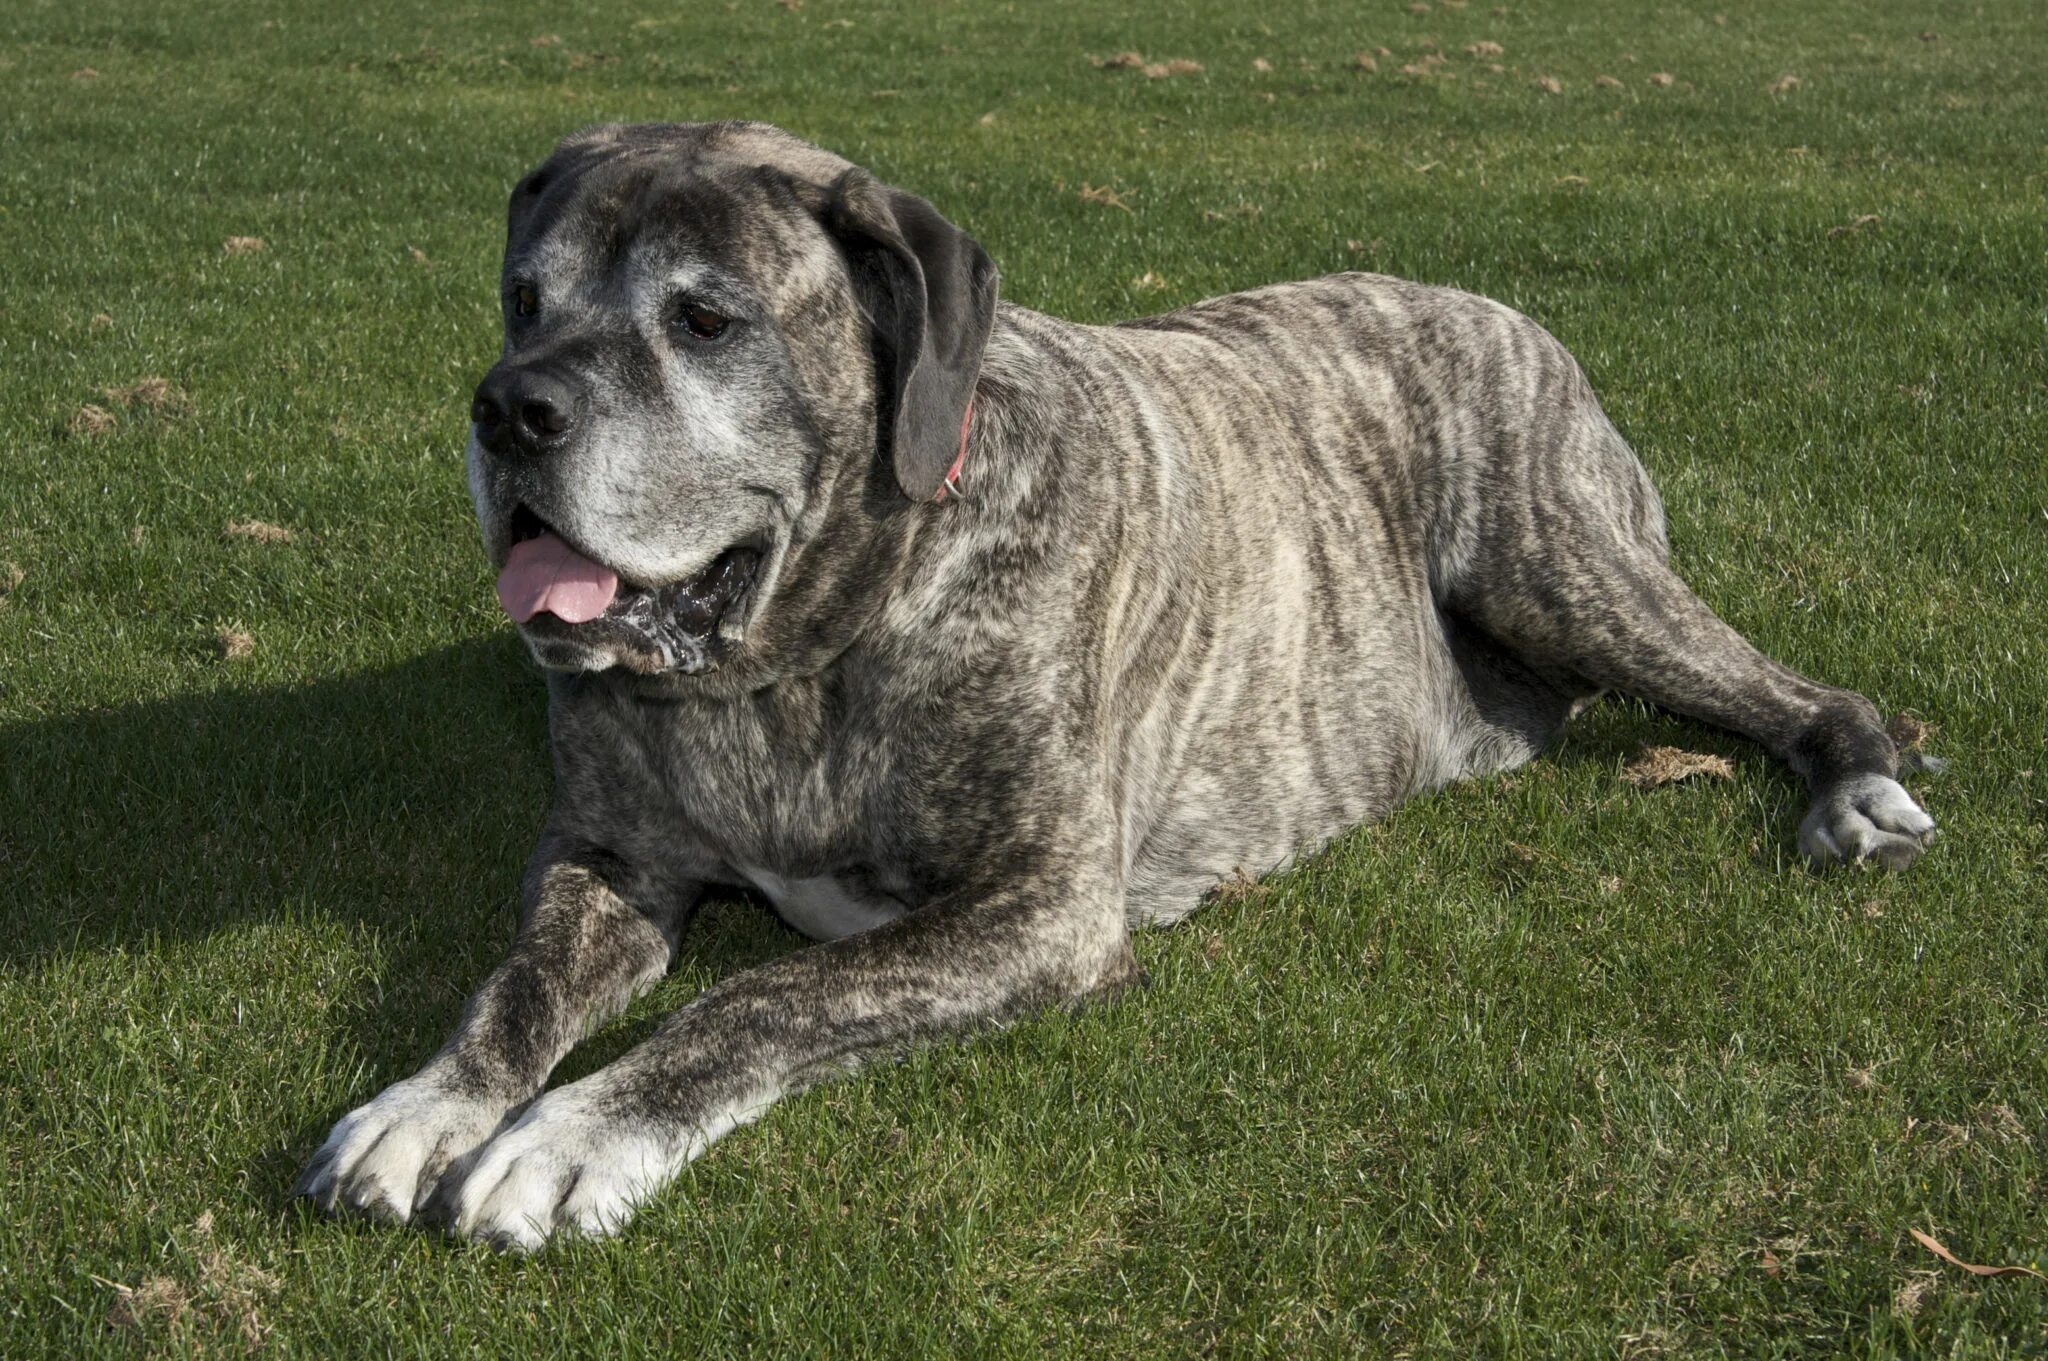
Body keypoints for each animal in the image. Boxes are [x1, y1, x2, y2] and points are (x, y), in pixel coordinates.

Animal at [292, 122, 1933, 1244]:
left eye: (704, 318)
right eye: (523, 297)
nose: (508, 408)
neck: (801, 656)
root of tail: (1498, 306)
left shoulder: (1040, 912)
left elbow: (757, 996)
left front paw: (572, 1132)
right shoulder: (607, 854)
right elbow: (516, 981)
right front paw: (429, 1102)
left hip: (1564, 566)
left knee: (1800, 693)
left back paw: (1857, 788)